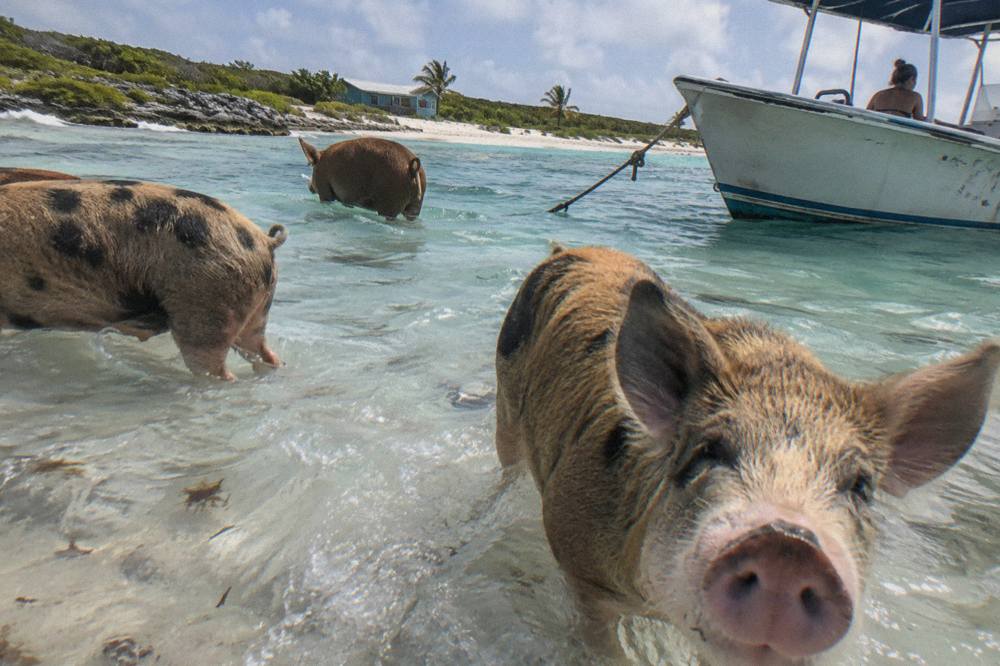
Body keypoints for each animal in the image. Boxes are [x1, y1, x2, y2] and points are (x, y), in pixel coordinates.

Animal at [298, 137, 426, 220]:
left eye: (313, 170)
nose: (309, 186)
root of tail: (411, 167)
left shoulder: (324, 189)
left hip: (390, 198)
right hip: (415, 205)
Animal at [495, 246, 999, 665]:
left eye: (861, 487)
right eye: (707, 452)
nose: (789, 545)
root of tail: (568, 249)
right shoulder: (581, 568)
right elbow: (601, 646)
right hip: (505, 403)